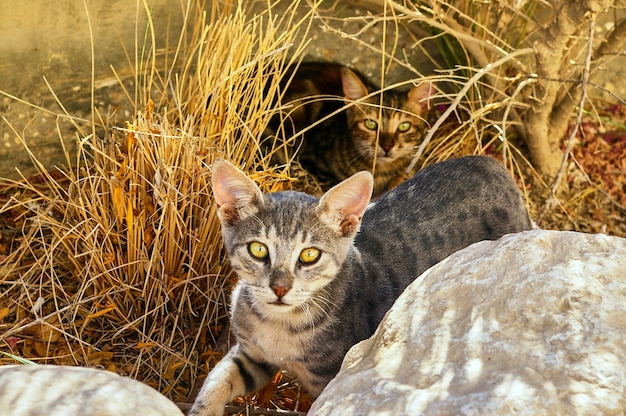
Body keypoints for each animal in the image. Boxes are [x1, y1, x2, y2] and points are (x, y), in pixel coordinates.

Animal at [188, 156, 528, 416]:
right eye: (258, 249)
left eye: (309, 255)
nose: (280, 288)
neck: (279, 326)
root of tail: (495, 165)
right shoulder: (252, 354)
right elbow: (218, 379)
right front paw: (202, 408)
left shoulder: (329, 378)